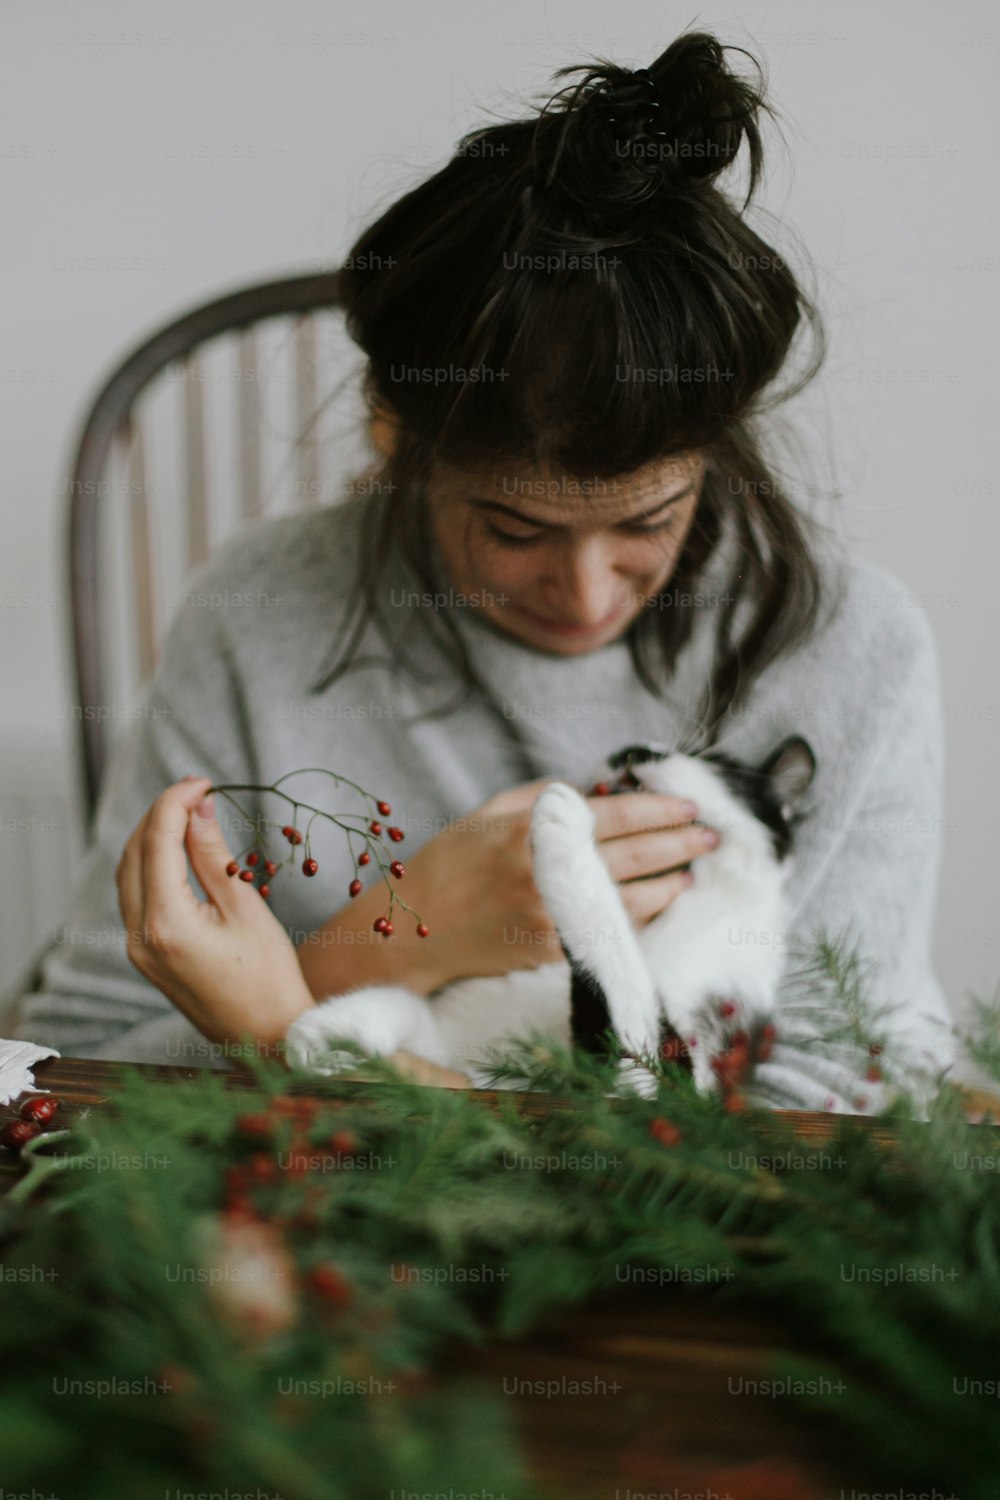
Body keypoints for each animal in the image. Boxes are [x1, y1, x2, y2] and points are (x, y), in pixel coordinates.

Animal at [284, 735, 815, 1098]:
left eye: (712, 759)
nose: (632, 750)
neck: (666, 921)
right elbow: (412, 1011)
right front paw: (333, 1034)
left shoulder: (667, 1076)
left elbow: (618, 968)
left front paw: (568, 832)